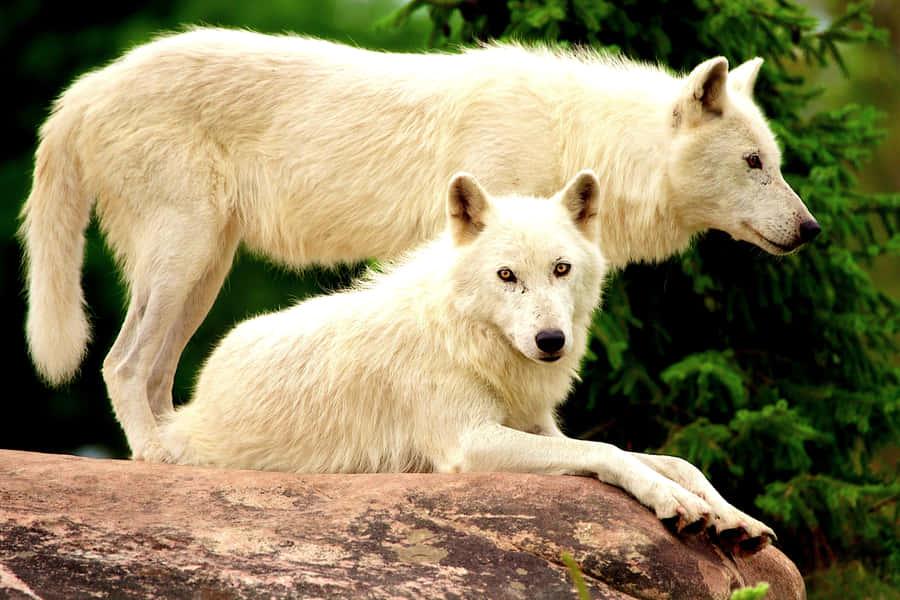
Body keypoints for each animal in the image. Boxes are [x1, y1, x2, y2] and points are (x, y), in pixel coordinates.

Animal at [20, 28, 819, 463]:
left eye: (776, 163)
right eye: (754, 163)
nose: (812, 230)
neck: (577, 135)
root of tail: (84, 88)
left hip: (204, 271)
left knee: (154, 373)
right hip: (184, 258)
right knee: (121, 364)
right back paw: (159, 452)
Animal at [158, 171, 774, 553]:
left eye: (561, 269)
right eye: (506, 276)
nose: (551, 340)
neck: (467, 338)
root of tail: (196, 395)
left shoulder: (543, 428)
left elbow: (675, 461)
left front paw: (732, 516)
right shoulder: (470, 442)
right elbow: (606, 451)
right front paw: (671, 500)